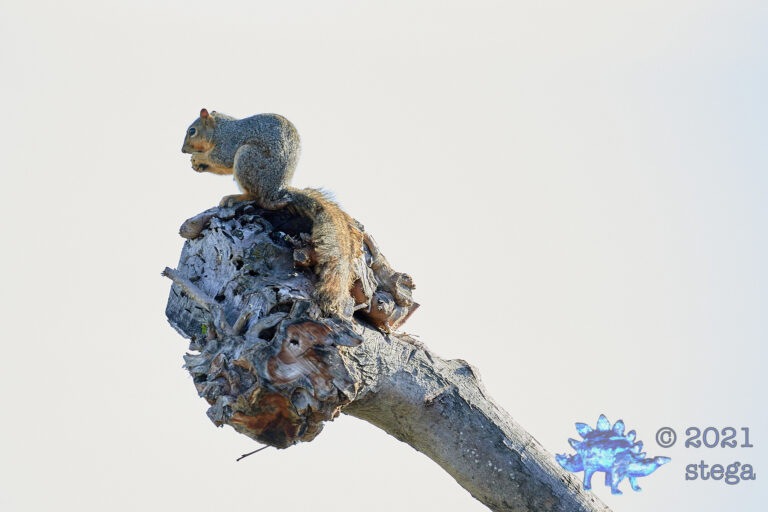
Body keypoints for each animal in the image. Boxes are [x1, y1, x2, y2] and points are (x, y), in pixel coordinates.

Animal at [181, 108, 364, 318]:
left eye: (192, 131)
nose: (183, 150)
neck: (219, 128)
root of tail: (277, 191)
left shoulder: (229, 143)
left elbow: (221, 158)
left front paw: (199, 158)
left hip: (247, 158)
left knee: (257, 197)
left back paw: (235, 197)